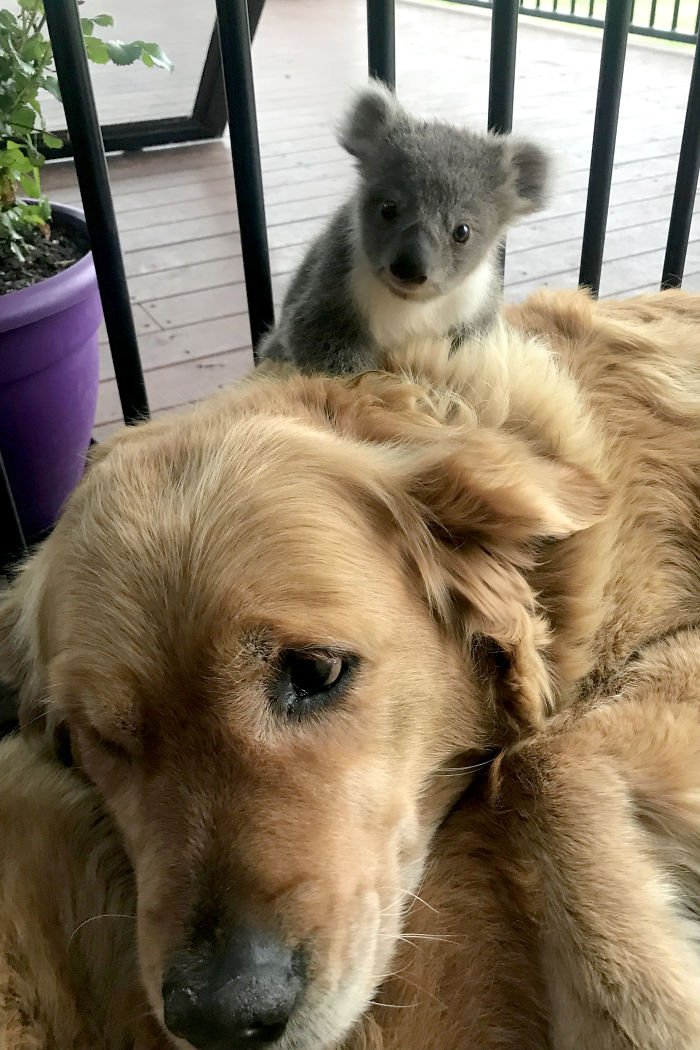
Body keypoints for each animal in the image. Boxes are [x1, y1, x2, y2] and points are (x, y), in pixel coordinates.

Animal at [256, 84, 545, 375]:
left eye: (462, 232)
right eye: (388, 209)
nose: (409, 268)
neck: (412, 304)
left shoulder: (475, 313)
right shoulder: (335, 288)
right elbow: (320, 342)